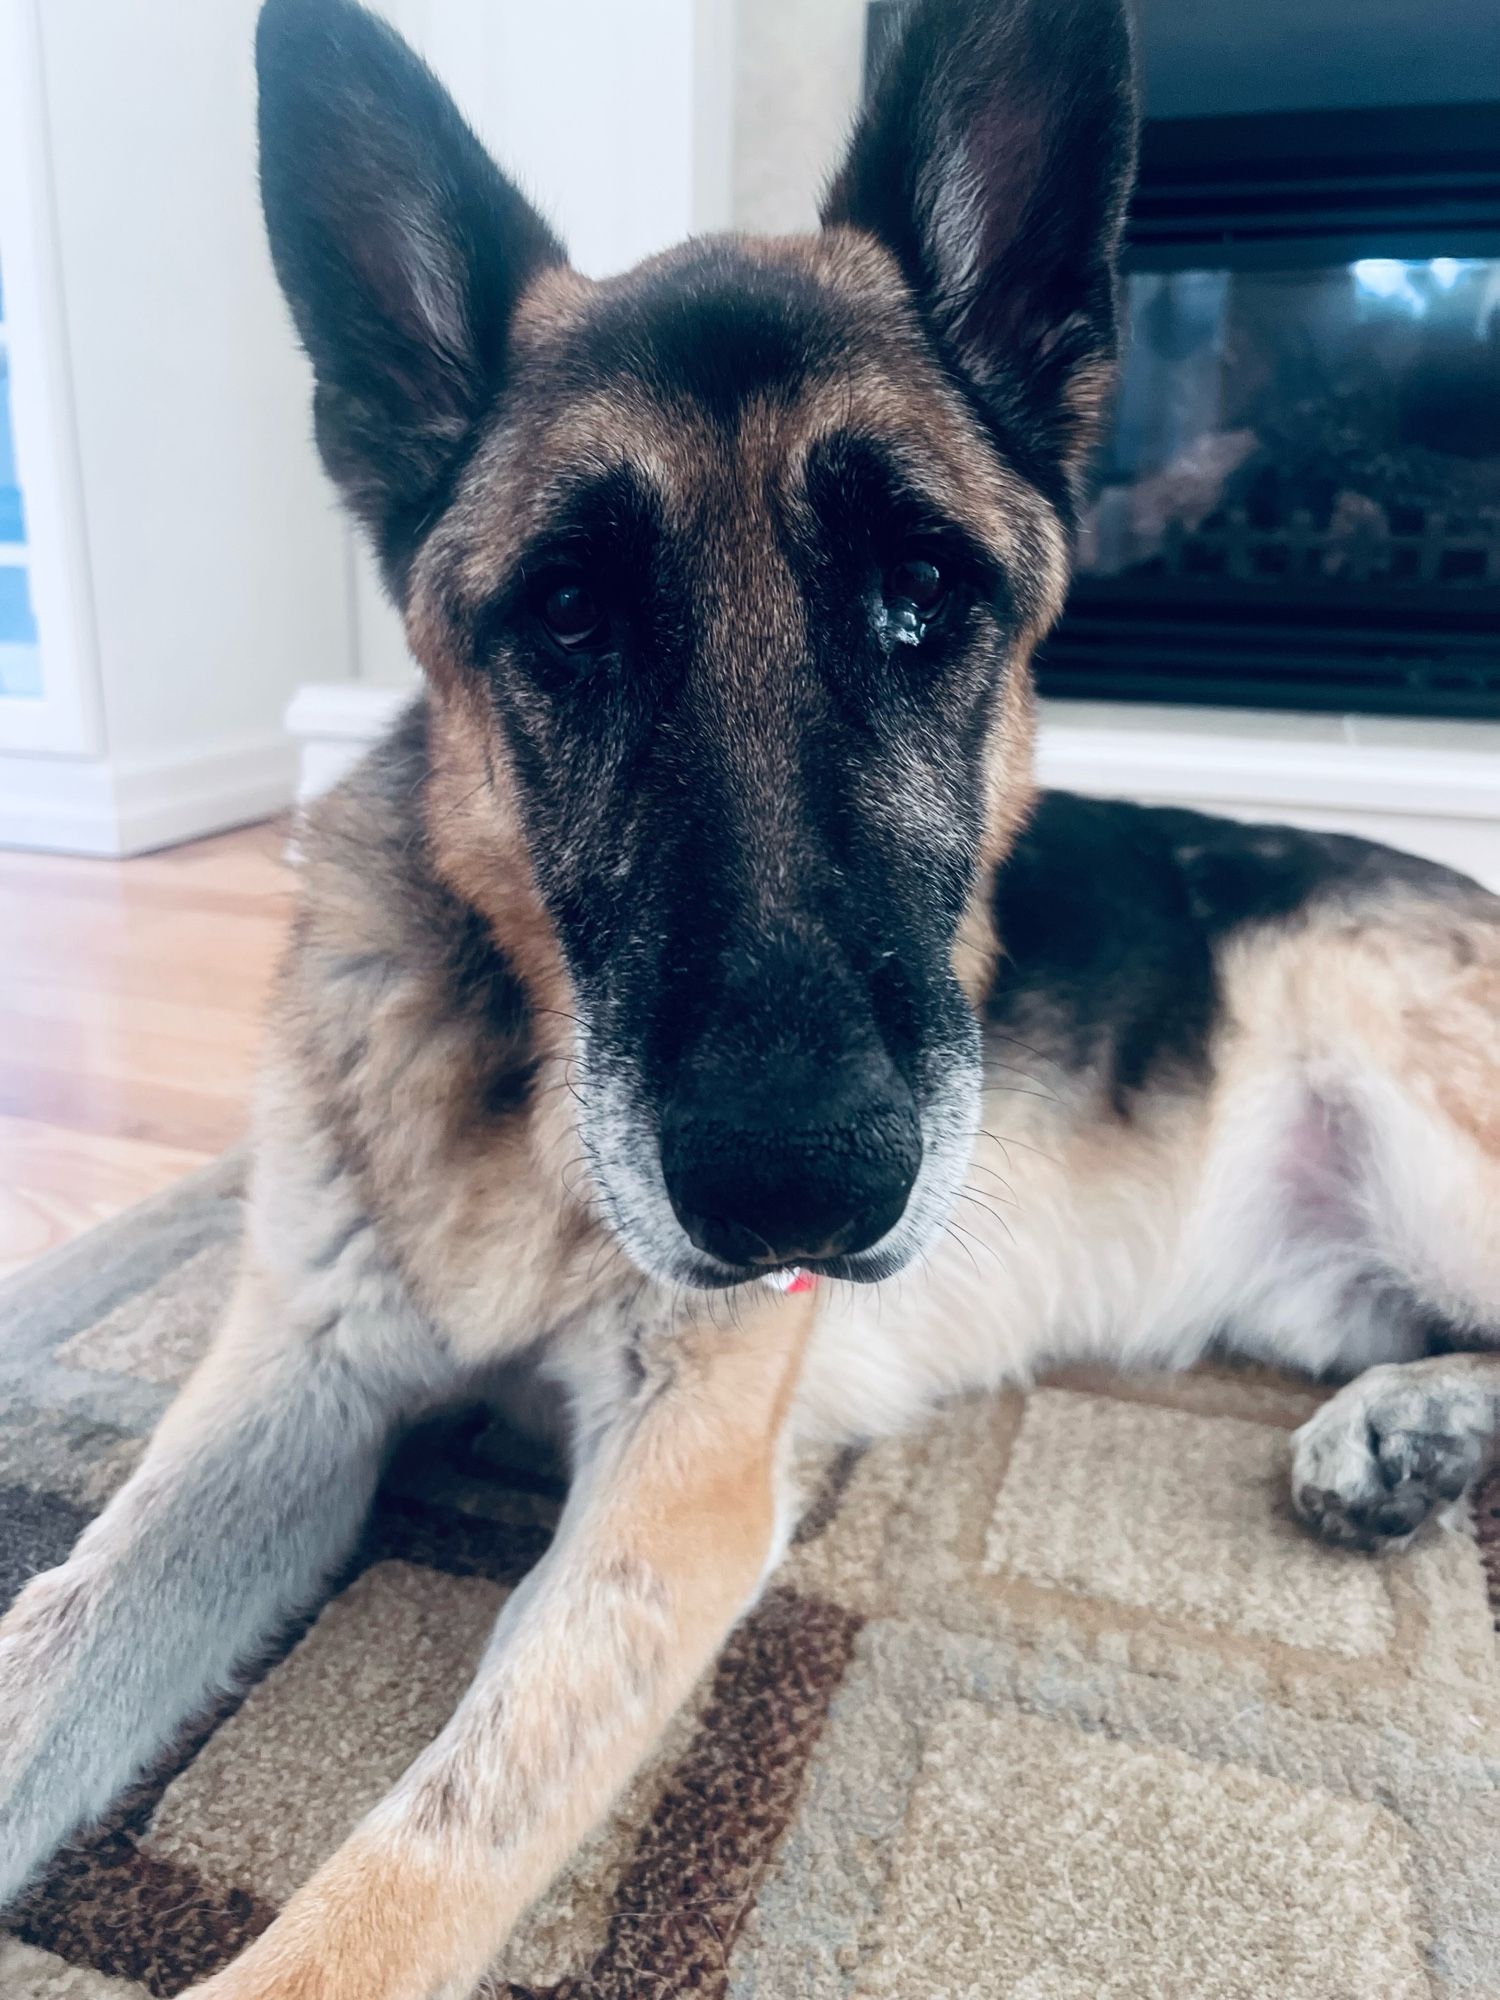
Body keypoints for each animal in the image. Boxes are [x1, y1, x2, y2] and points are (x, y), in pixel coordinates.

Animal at [2, 0, 1500, 1992]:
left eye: (925, 593)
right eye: (567, 616)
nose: (799, 1193)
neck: (522, 1088)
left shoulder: (670, 1504)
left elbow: (400, 1882)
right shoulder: (285, 1407)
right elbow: (54, 1650)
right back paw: (1406, 1426)